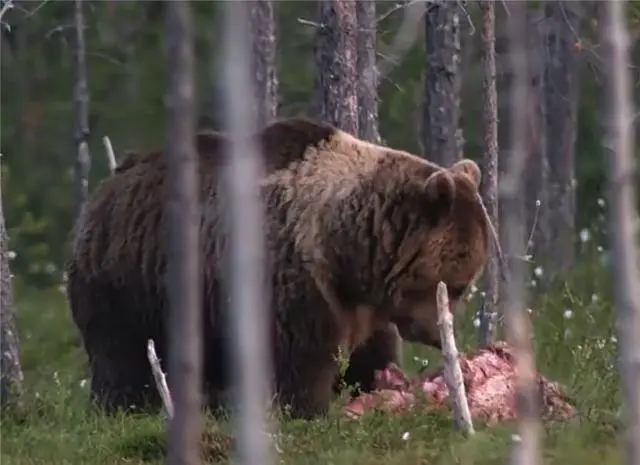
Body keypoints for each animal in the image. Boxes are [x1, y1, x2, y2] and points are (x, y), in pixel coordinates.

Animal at [66, 117, 490, 420]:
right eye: (456, 285)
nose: (439, 334)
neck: (350, 248)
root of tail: (105, 187)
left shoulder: (362, 304)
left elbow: (372, 349)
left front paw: (382, 382)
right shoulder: (296, 279)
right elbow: (302, 358)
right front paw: (310, 409)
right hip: (128, 286)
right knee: (123, 356)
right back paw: (127, 407)